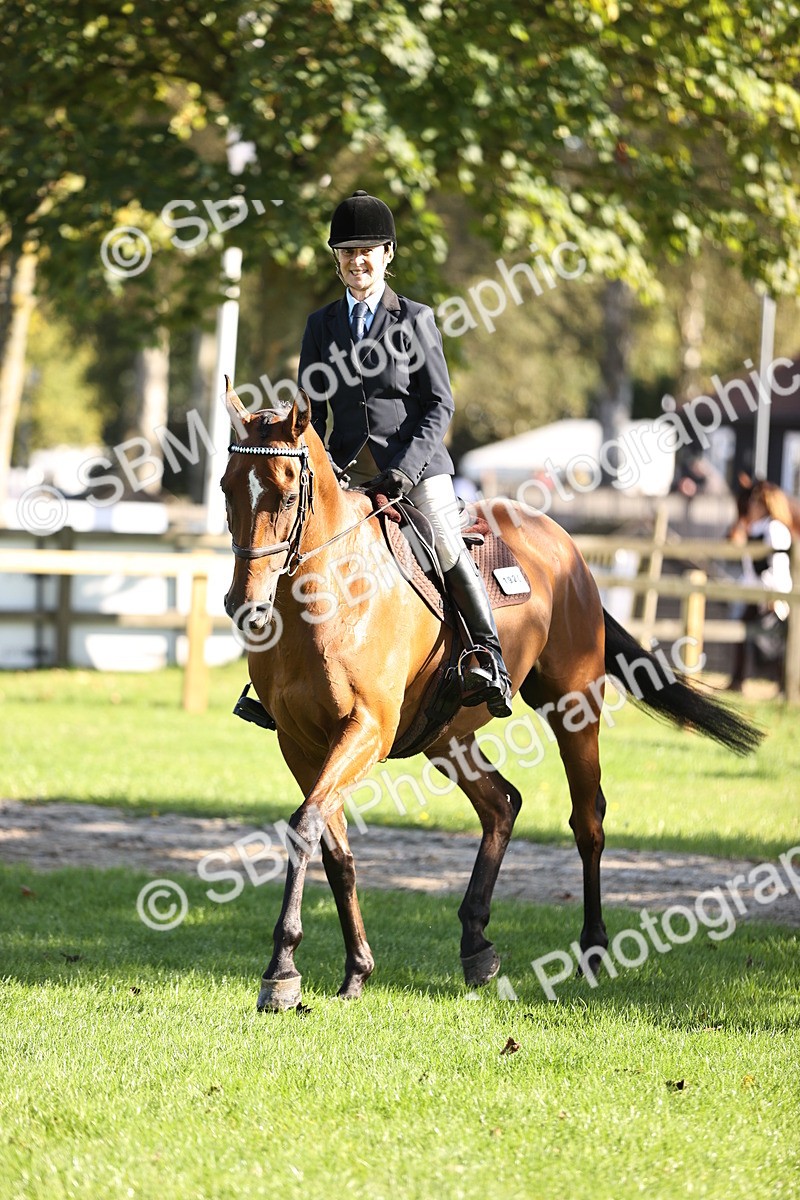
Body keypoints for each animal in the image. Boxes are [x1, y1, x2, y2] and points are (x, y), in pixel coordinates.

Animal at [220, 382, 762, 1011]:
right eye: (226, 488)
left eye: (286, 495)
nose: (243, 604)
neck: (329, 591)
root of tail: (564, 542)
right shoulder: (300, 742)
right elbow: (333, 848)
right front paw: (355, 970)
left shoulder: (365, 730)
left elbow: (306, 825)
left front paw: (281, 971)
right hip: (446, 737)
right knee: (502, 804)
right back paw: (476, 944)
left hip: (573, 706)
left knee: (588, 820)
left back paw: (593, 949)